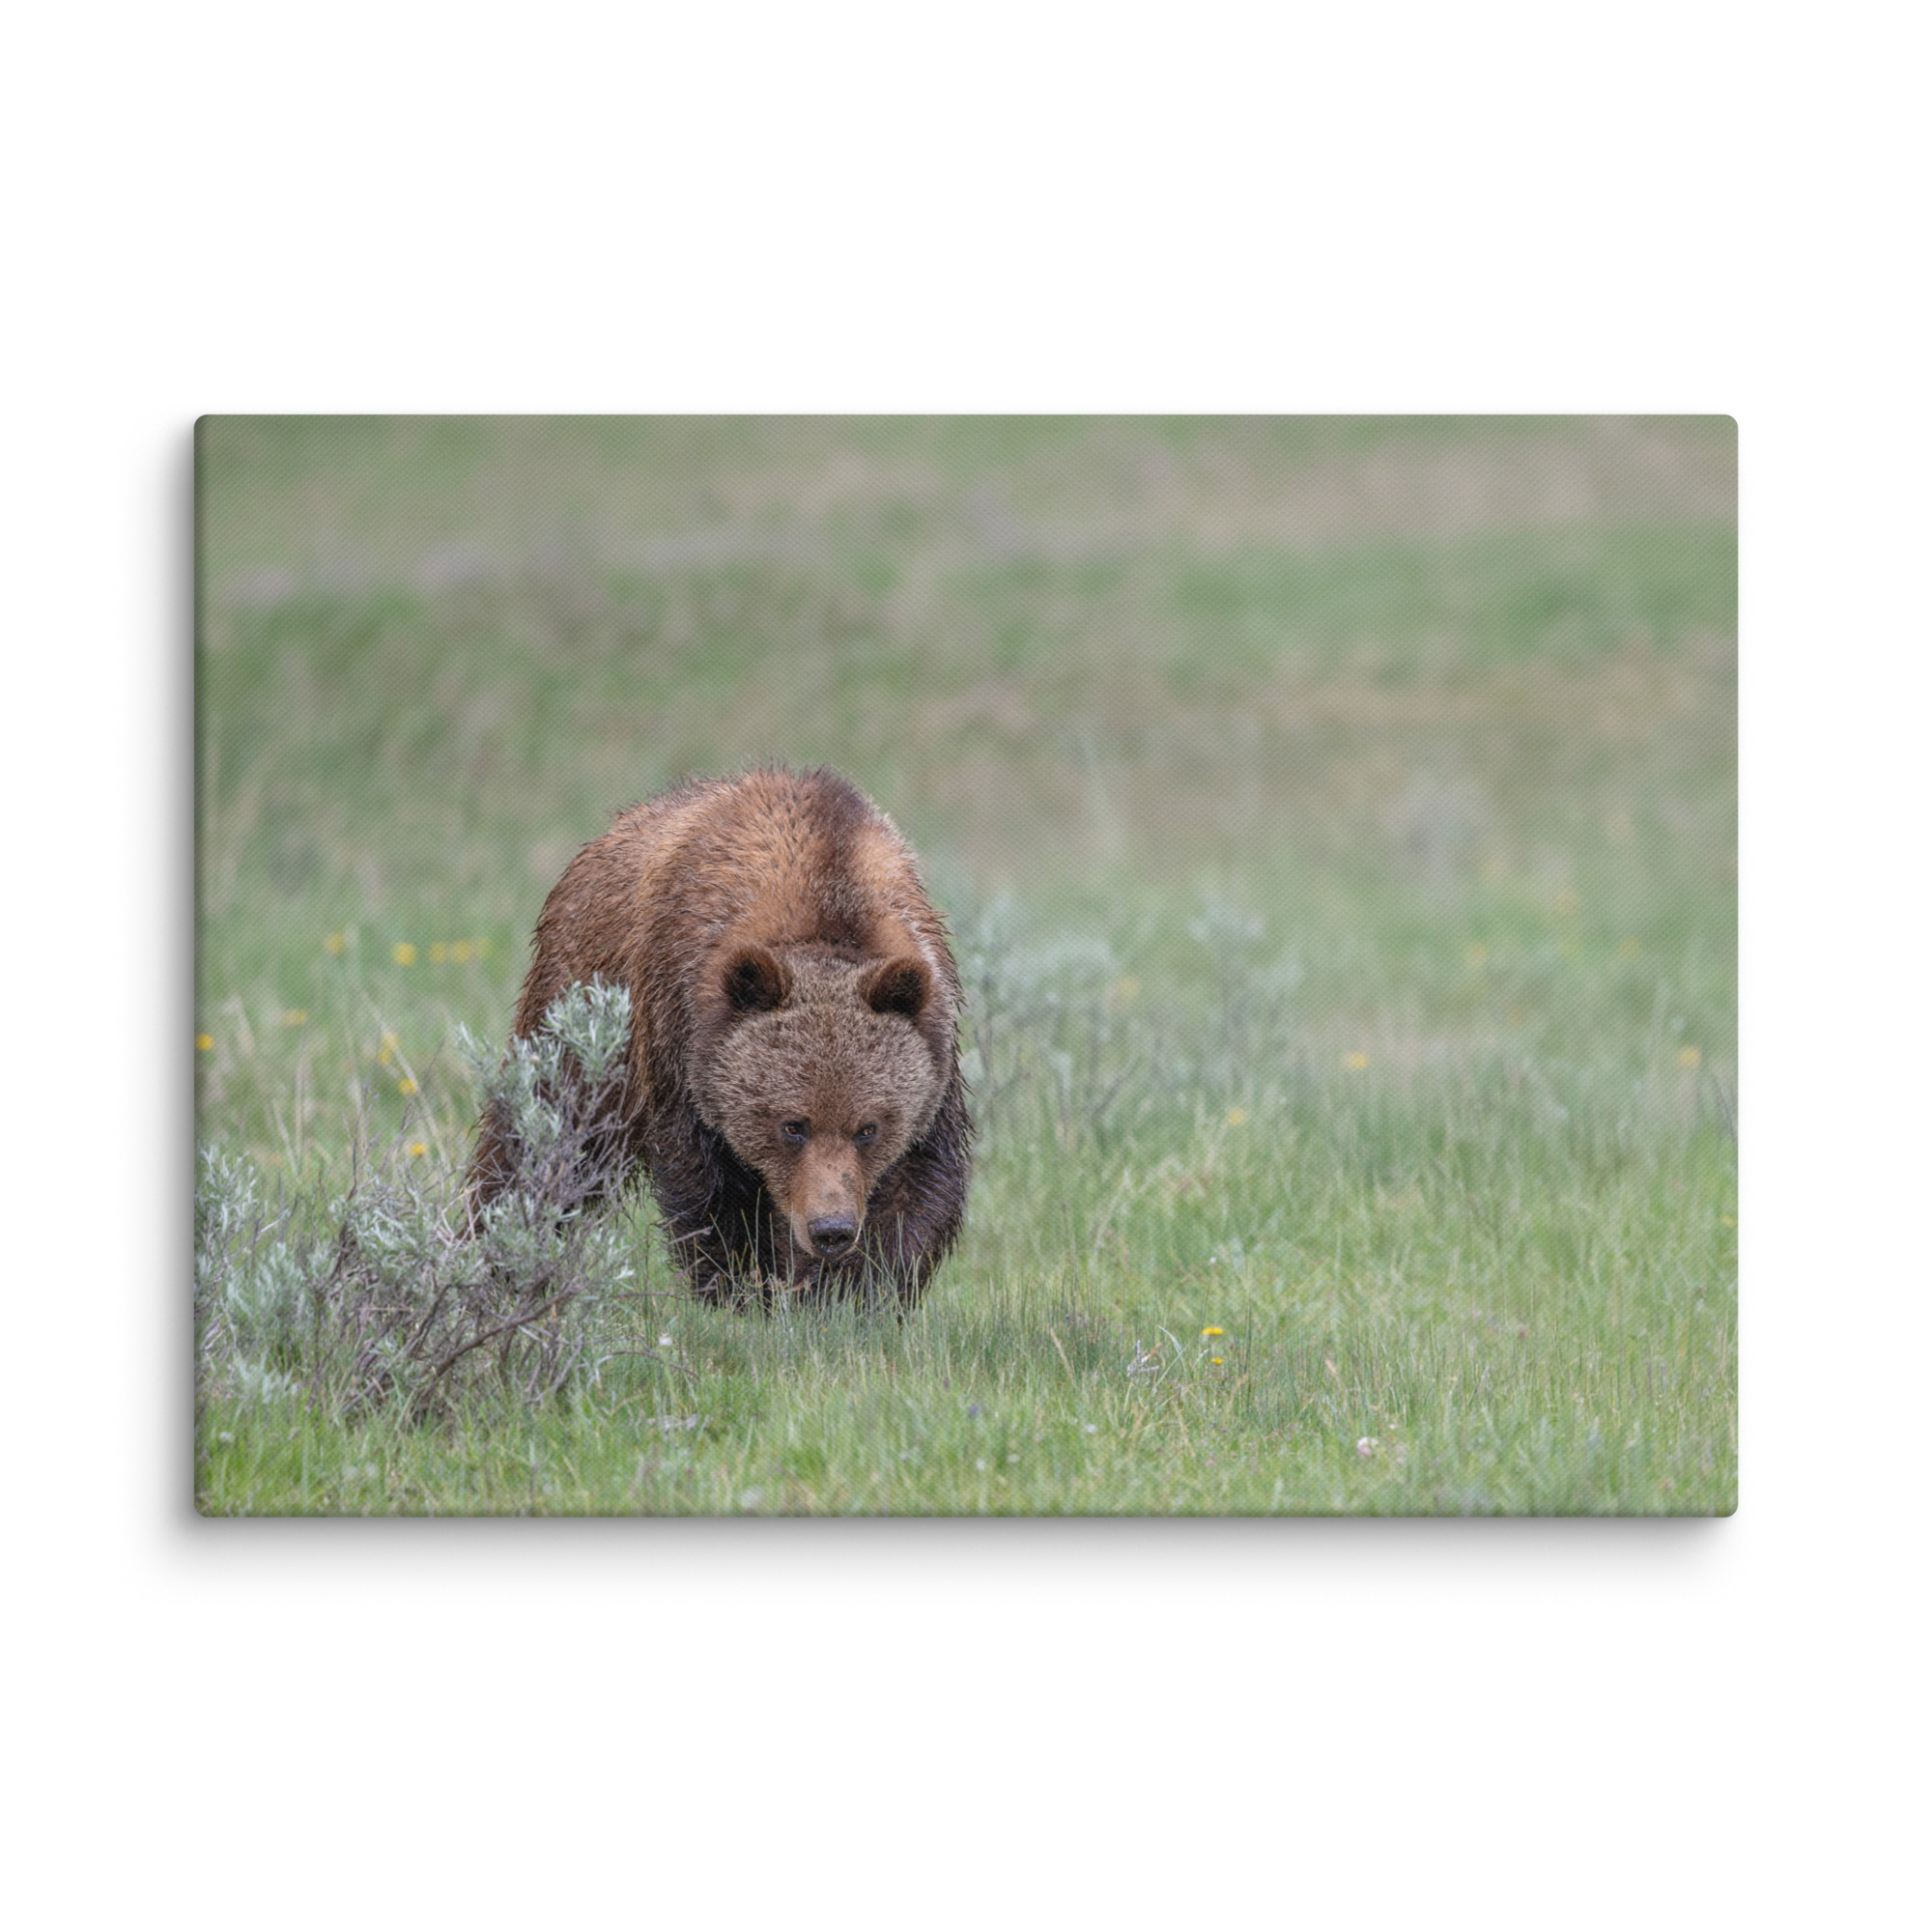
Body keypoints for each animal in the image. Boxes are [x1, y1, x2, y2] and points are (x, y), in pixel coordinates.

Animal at [467, 766, 972, 1309]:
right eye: (792, 1125)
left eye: (868, 1128)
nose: (830, 1229)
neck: (826, 897)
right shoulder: (681, 1037)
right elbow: (711, 1191)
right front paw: (742, 1291)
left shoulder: (933, 1050)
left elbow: (916, 1188)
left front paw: (849, 1294)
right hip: (582, 1008)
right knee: (543, 1136)